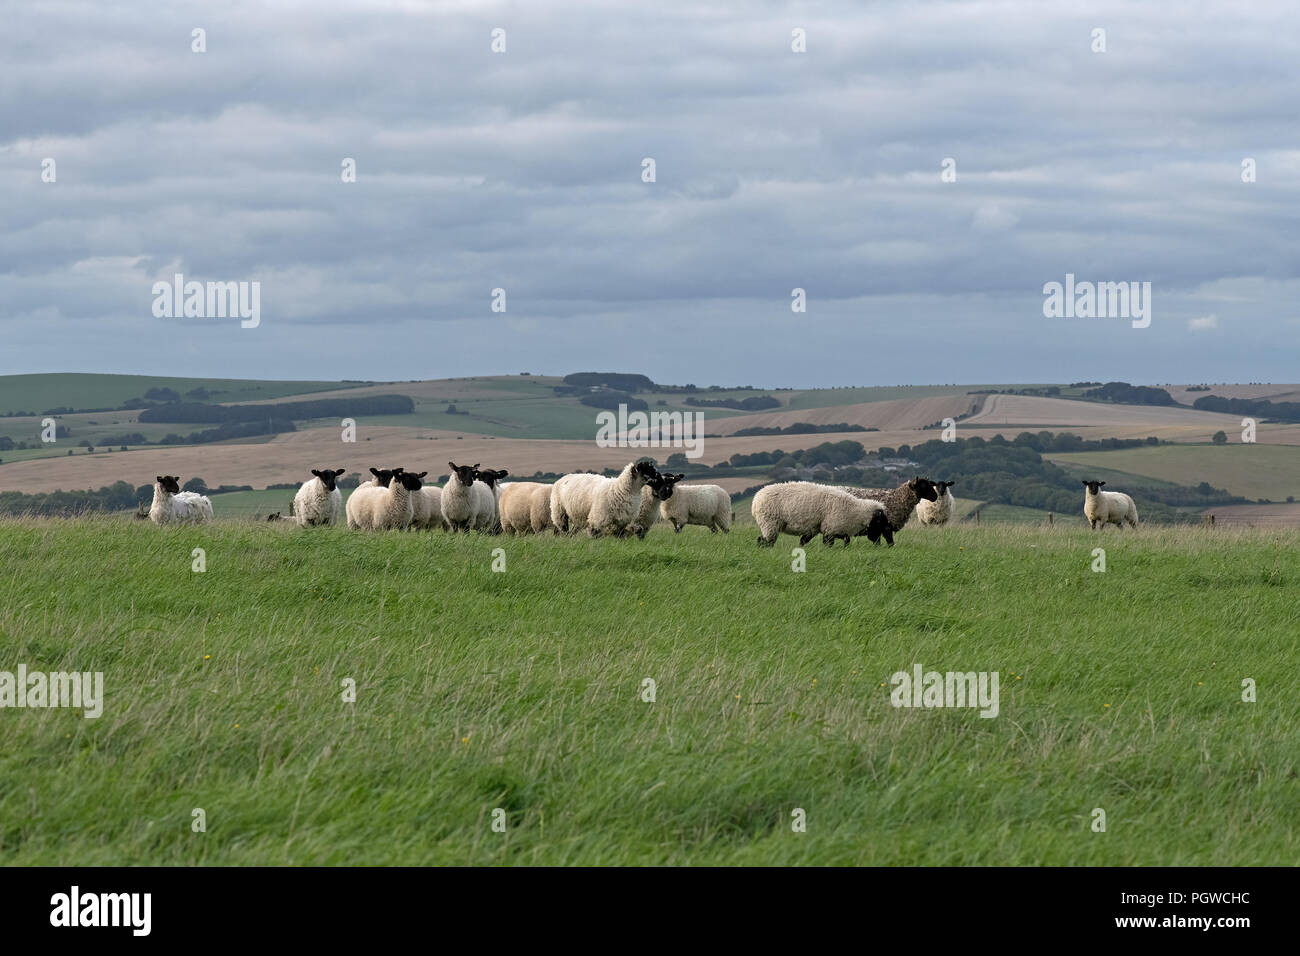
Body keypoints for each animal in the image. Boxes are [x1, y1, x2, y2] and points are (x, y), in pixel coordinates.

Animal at [752, 481, 889, 547]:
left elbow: (804, 540)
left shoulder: (821, 528)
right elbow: (830, 543)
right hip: (770, 522)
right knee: (765, 540)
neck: (855, 511)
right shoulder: (831, 528)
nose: (889, 544)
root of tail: (756, 500)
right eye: (879, 523)